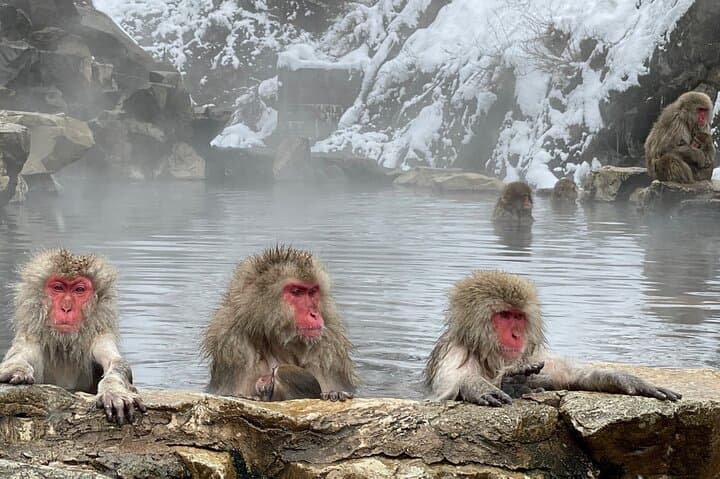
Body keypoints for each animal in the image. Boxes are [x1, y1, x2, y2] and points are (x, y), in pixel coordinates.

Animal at [0, 249, 145, 424]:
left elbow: (116, 363)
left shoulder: (99, 337)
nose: (66, 308)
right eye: (58, 288)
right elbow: (19, 357)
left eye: (79, 290)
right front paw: (15, 369)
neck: (64, 346)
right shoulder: (31, 338)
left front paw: (113, 390)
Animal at [202, 245, 358, 401]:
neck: (277, 343)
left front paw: (335, 393)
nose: (314, 314)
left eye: (312, 292)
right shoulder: (235, 349)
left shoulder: (329, 349)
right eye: (296, 292)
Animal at [424, 270, 681, 406]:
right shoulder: (454, 354)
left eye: (518, 317)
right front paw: (475, 385)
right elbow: (445, 393)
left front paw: (627, 380)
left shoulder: (533, 355)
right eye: (504, 316)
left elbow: (571, 376)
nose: (516, 335)